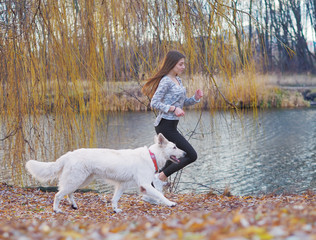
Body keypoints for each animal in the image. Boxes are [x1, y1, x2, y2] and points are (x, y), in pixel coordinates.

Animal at [27, 133, 186, 214]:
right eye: (174, 147)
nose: (185, 153)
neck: (152, 155)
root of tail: (69, 154)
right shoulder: (145, 185)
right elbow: (160, 194)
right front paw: (170, 203)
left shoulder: (122, 185)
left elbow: (115, 199)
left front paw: (115, 210)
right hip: (76, 180)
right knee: (58, 195)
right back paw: (56, 209)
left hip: (81, 180)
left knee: (68, 193)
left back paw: (74, 206)